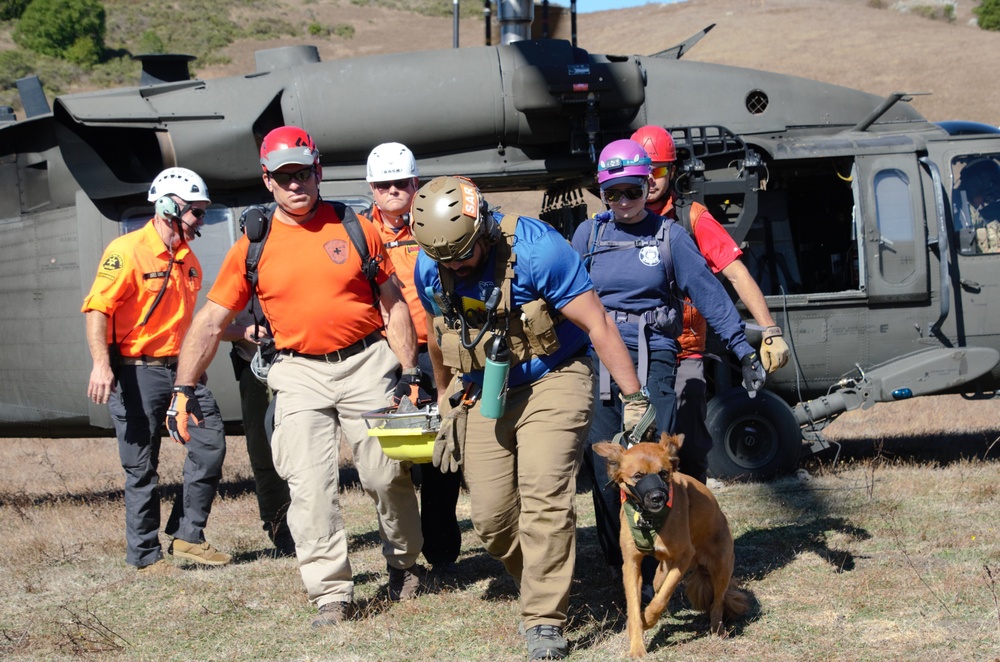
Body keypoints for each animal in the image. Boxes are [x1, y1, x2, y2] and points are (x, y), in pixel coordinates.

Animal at [592, 434, 744, 656]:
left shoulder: (684, 557)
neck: (648, 519)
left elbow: (662, 597)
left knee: (717, 602)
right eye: (638, 476)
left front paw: (648, 619)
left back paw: (718, 629)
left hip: (721, 567)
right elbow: (634, 604)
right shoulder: (631, 563)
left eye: (663, 473)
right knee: (659, 579)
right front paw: (637, 645)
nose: (657, 497)